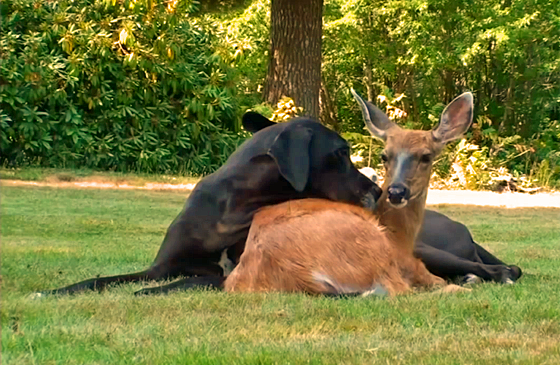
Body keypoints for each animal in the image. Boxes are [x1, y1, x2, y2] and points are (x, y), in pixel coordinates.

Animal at [37, 111, 380, 296]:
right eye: (341, 153)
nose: (378, 191)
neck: (233, 210)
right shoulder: (162, 266)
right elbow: (100, 280)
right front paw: (54, 290)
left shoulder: (229, 274)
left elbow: (188, 282)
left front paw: (146, 292)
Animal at [223, 89, 472, 296]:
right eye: (384, 155)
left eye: (426, 156)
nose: (396, 191)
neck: (399, 236)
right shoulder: (409, 264)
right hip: (374, 248)